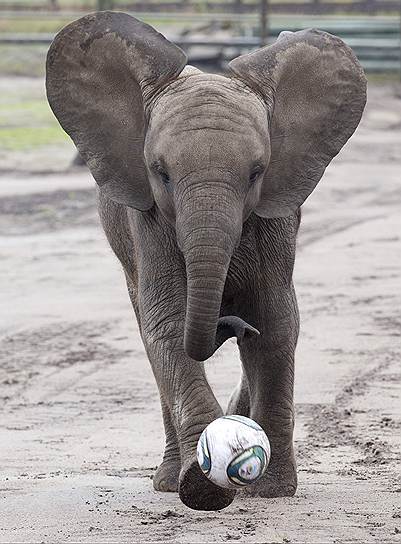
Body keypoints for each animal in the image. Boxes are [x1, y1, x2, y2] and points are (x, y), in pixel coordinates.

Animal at [47, 11, 366, 510]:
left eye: (256, 172)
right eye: (161, 173)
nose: (228, 325)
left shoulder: (274, 214)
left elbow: (275, 322)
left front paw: (273, 491)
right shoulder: (149, 220)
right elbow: (167, 325)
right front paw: (202, 488)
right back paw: (167, 478)